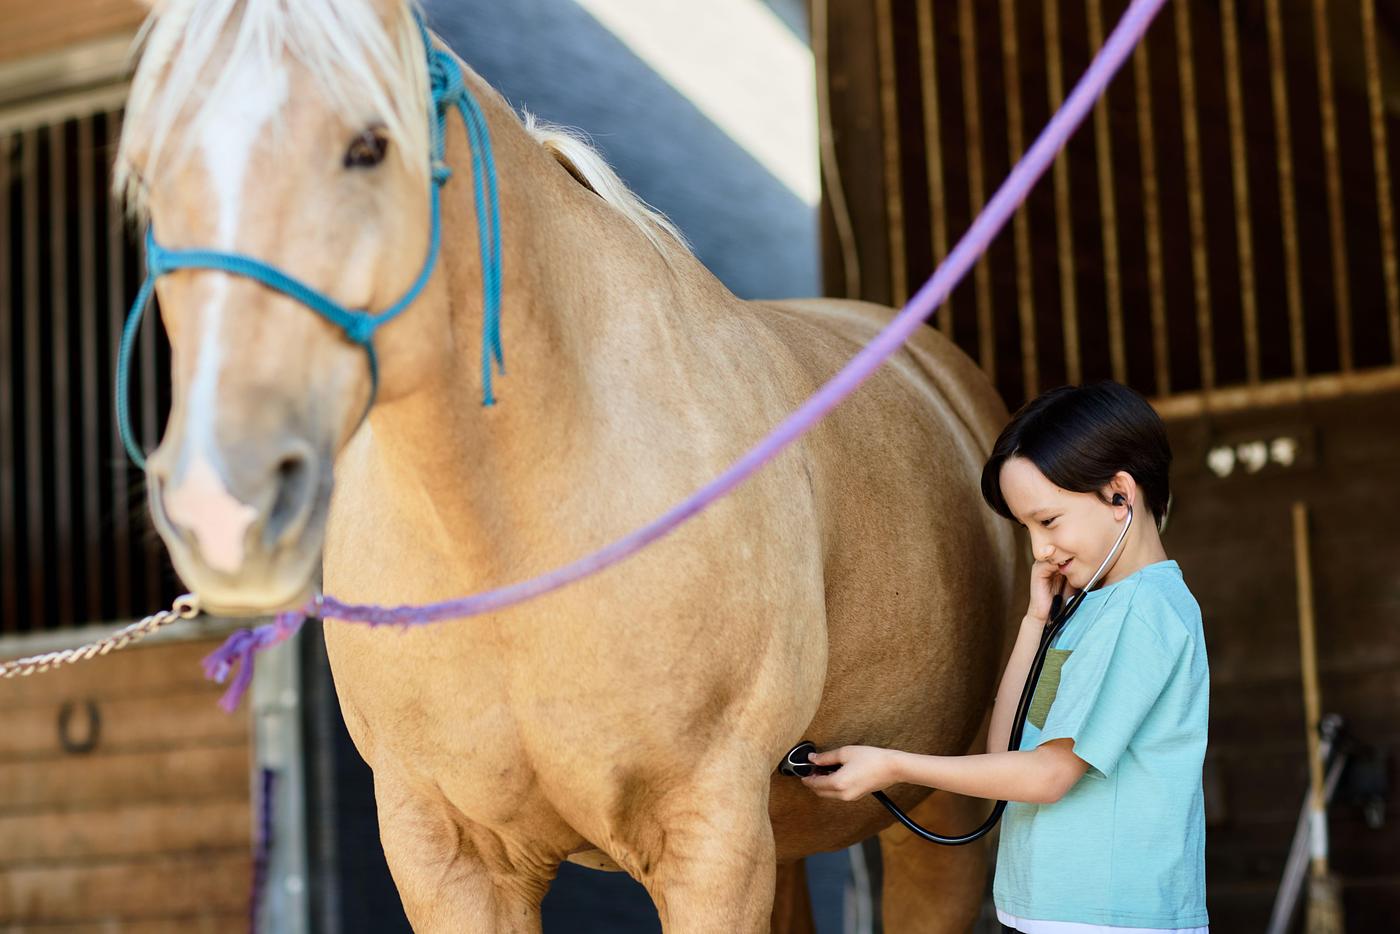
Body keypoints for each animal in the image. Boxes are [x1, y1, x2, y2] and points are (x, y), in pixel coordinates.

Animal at [116, 1, 1020, 929]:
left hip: (937, 821)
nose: (220, 506)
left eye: (368, 145)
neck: (511, 537)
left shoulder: (711, 842)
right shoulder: (448, 855)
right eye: (146, 173)